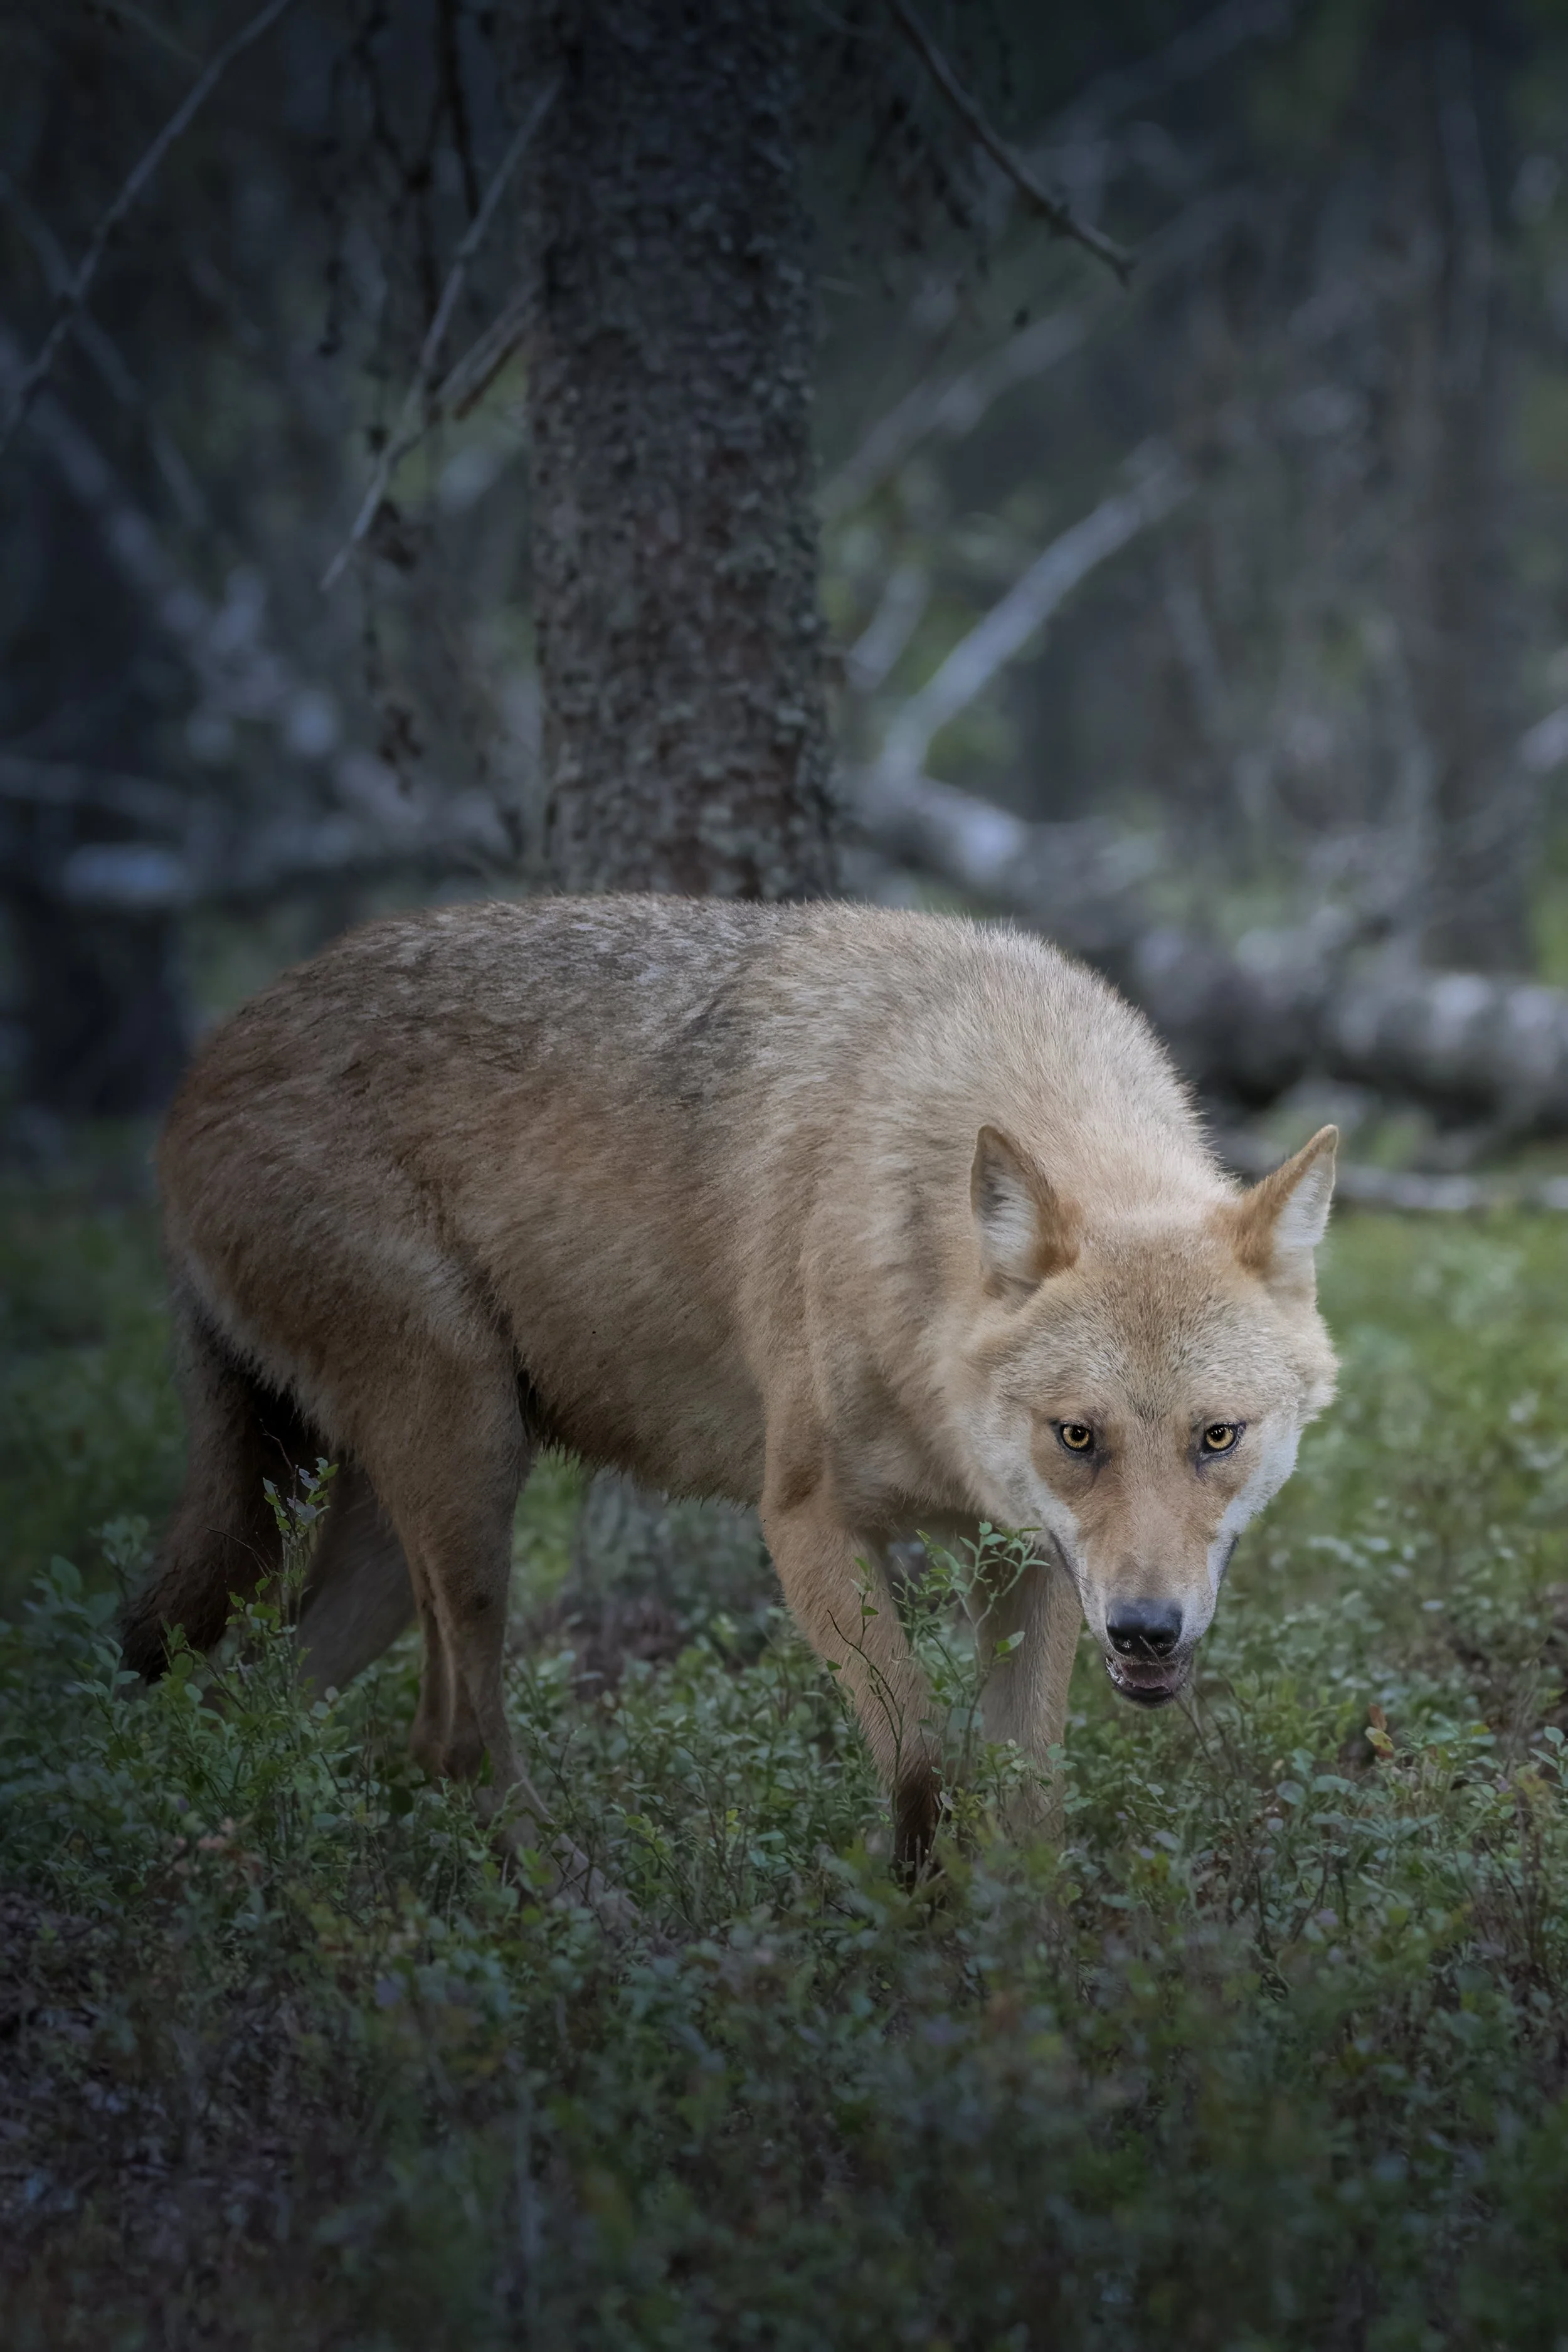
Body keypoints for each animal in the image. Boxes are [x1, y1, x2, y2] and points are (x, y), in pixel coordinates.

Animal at [120, 897, 1337, 1869]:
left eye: (1217, 1437)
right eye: (1079, 1437)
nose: (1146, 1630)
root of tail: (201, 1064)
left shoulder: (1025, 1559)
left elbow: (1028, 1800)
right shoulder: (805, 1526)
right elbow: (922, 1770)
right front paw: (914, 1920)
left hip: (388, 1543)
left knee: (267, 1703)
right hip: (470, 1480)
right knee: (449, 1737)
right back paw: (574, 1902)